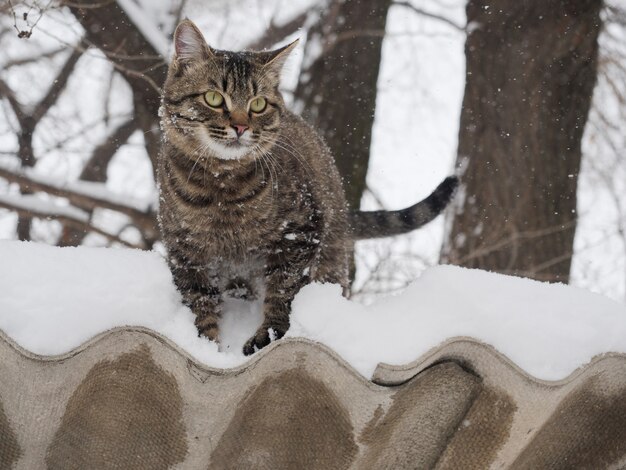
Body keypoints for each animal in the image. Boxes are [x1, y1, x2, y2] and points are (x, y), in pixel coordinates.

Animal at [158, 20, 456, 354]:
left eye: (258, 104)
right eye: (213, 98)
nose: (241, 126)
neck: (222, 187)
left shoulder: (299, 233)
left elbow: (282, 291)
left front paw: (268, 335)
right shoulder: (185, 250)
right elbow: (199, 304)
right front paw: (206, 347)